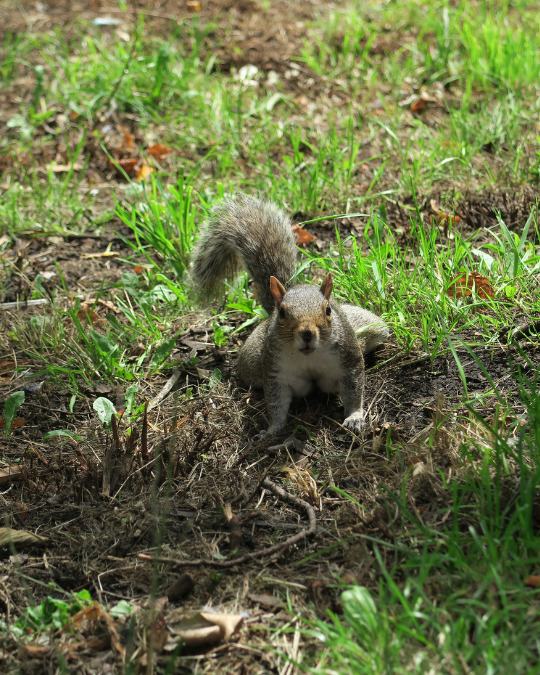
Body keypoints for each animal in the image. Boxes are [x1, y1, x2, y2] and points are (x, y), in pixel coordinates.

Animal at [191, 194, 390, 440]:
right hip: (252, 362)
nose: (306, 333)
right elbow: (276, 403)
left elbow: (354, 389)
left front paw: (354, 417)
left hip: (371, 327)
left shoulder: (349, 359)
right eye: (283, 313)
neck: (308, 357)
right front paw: (271, 430)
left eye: (328, 310)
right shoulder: (276, 373)